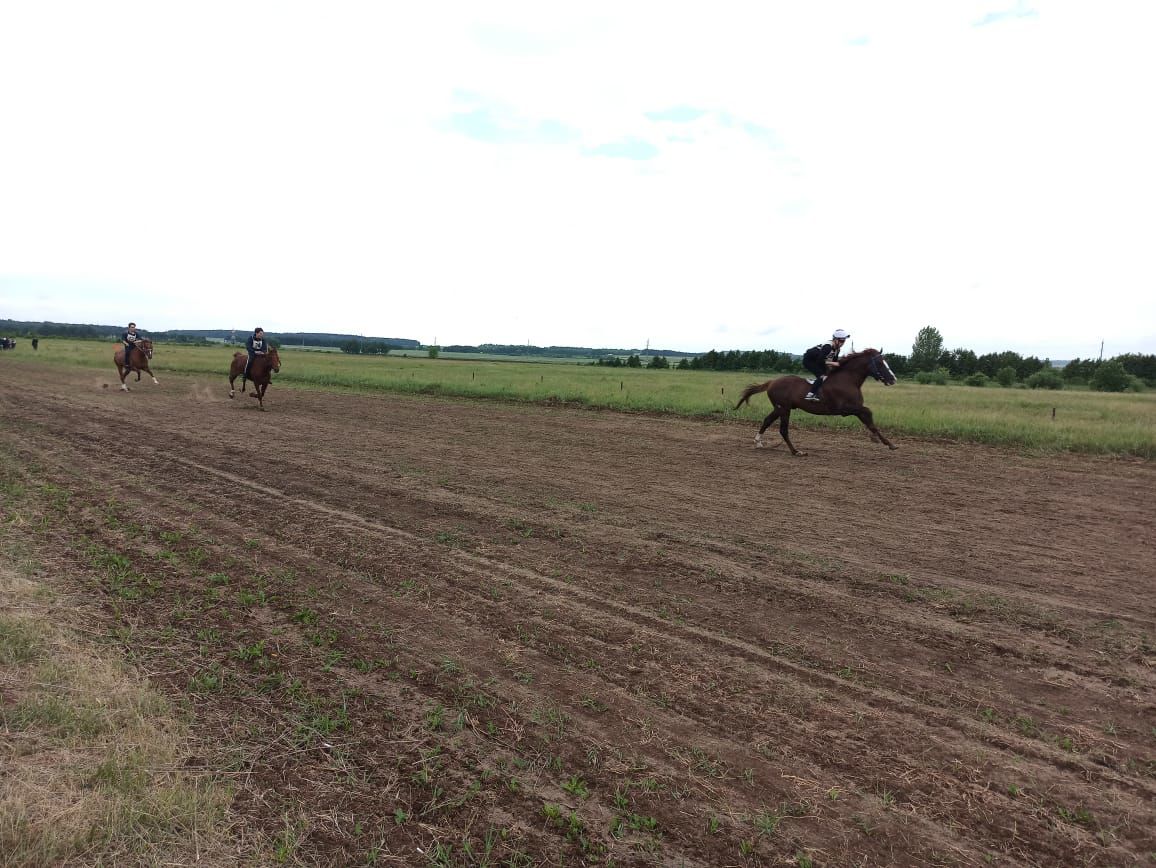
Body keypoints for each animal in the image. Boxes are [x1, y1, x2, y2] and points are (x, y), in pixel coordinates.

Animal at [735, 349, 897, 457]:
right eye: (880, 363)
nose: (893, 379)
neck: (848, 380)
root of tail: (771, 382)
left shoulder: (855, 408)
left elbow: (870, 421)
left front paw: (888, 443)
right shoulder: (846, 409)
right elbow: (868, 412)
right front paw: (878, 439)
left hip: (779, 408)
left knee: (767, 420)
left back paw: (758, 442)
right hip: (784, 408)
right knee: (783, 430)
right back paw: (796, 451)